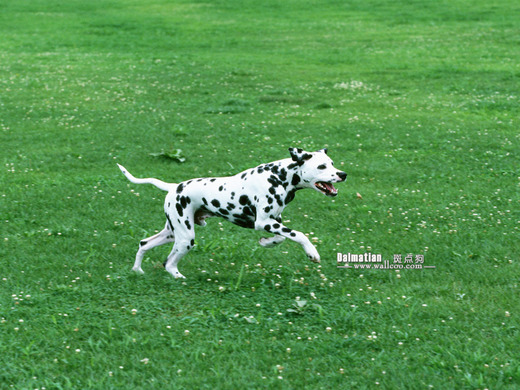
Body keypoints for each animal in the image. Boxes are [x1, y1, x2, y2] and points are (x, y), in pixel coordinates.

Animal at [117, 148, 346, 278]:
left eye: (332, 163)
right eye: (321, 166)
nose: (343, 174)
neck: (279, 176)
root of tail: (174, 187)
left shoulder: (274, 221)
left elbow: (280, 238)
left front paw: (266, 243)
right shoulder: (264, 222)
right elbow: (299, 234)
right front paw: (312, 252)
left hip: (172, 233)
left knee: (144, 243)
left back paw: (137, 271)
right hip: (185, 238)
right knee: (168, 263)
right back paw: (178, 277)